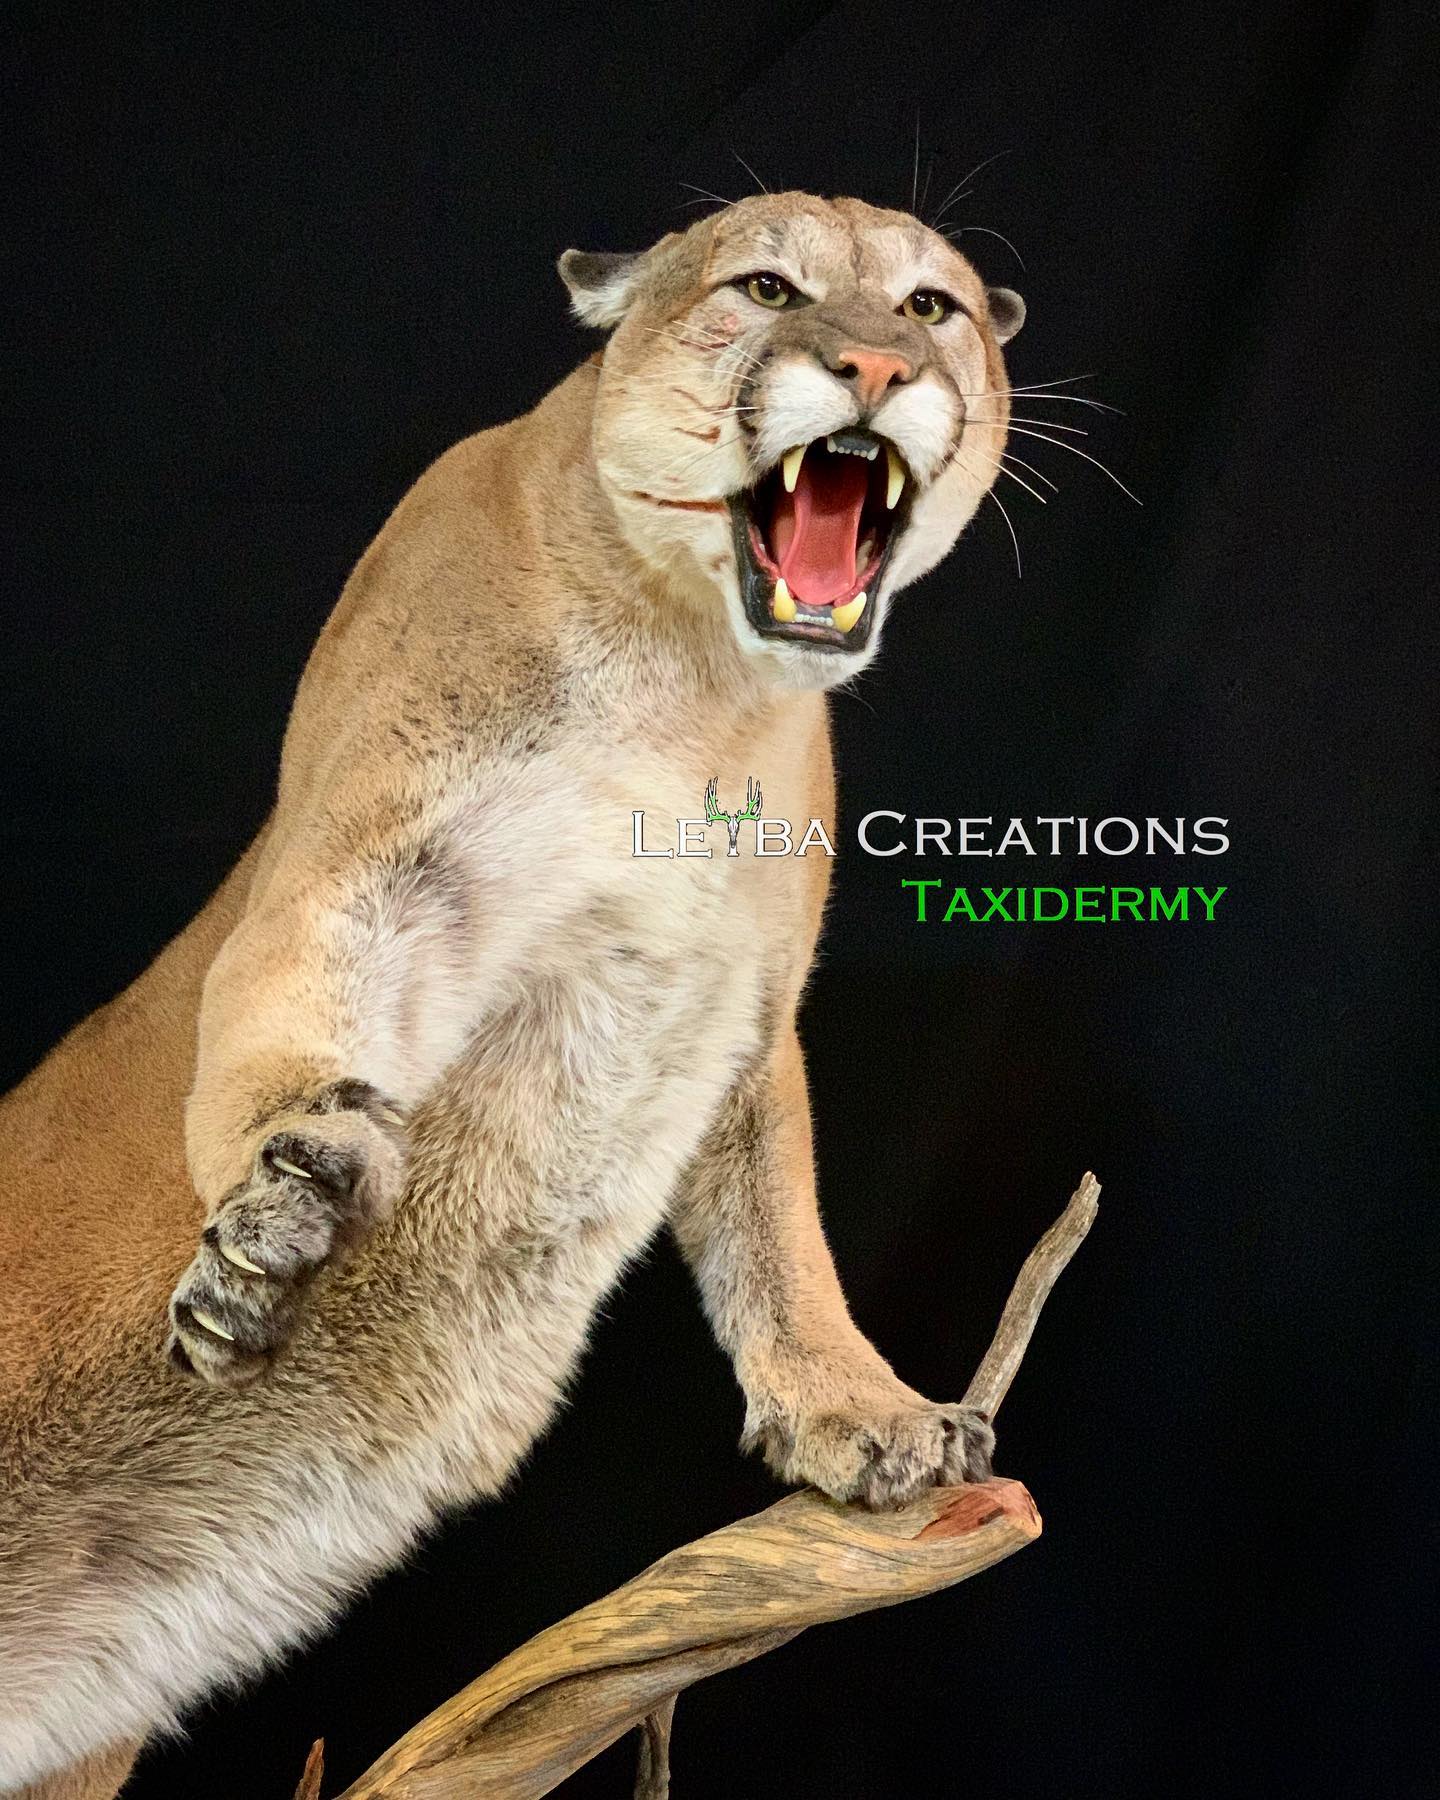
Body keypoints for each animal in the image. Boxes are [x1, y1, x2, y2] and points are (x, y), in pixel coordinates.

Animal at [0, 191, 1024, 1796]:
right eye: (768, 285)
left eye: (933, 307)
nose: (873, 365)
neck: (694, 692)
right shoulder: (367, 862)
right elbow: (284, 1008)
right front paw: (274, 1218)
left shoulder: (747, 1007)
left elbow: (779, 1221)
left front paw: (864, 1413)